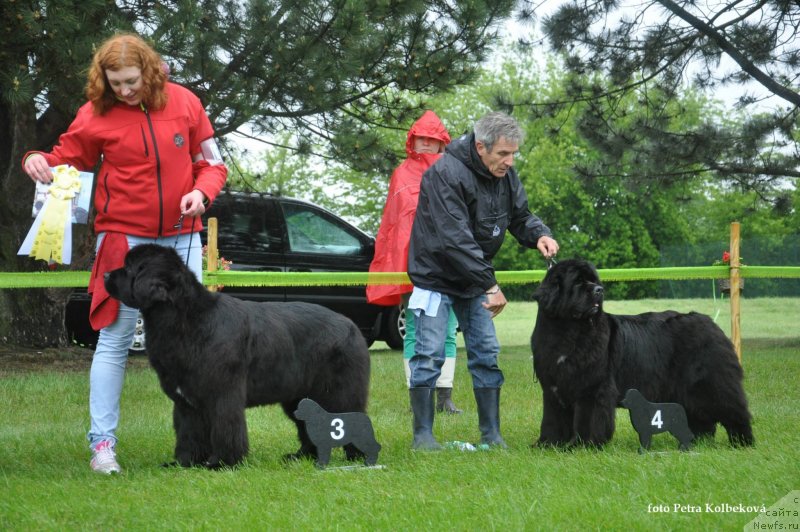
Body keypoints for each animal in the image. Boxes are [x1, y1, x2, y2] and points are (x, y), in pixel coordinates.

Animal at [102, 243, 372, 468]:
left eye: (130, 267)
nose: (104, 275)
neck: (184, 319)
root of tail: (351, 325)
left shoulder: (222, 393)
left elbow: (225, 428)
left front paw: (221, 463)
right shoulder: (186, 401)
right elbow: (188, 432)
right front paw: (184, 463)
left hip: (338, 391)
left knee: (352, 416)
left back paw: (359, 457)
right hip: (298, 397)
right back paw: (301, 456)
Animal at [536, 258, 752, 448]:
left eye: (594, 281)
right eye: (578, 282)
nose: (599, 290)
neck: (567, 331)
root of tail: (710, 323)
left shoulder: (592, 387)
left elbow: (588, 419)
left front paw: (583, 444)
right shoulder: (553, 388)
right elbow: (553, 420)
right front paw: (547, 444)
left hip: (711, 383)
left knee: (734, 411)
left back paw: (743, 442)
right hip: (687, 391)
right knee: (700, 418)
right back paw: (697, 442)